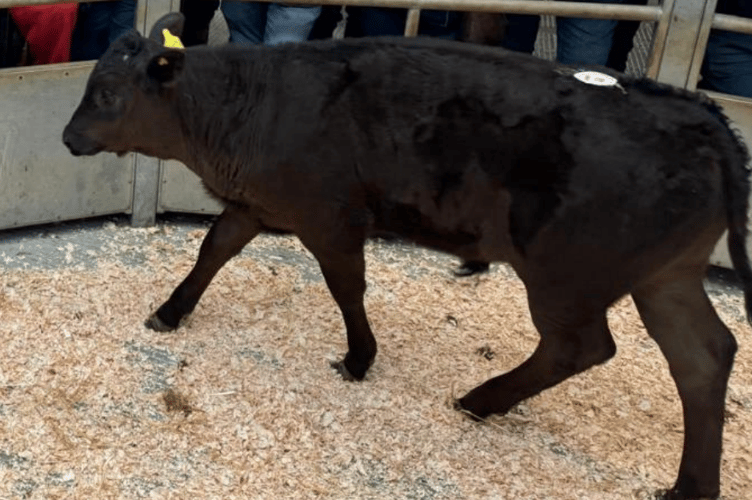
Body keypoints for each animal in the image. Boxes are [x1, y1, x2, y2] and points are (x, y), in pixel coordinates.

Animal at [63, 13, 752, 500]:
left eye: (106, 94)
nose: (67, 137)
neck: (249, 101)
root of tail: (699, 114)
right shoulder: (254, 205)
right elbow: (213, 251)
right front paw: (170, 311)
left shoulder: (330, 220)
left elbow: (346, 287)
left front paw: (359, 358)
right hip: (665, 277)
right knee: (704, 356)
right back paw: (689, 486)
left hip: (566, 278)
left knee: (580, 348)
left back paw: (481, 400)